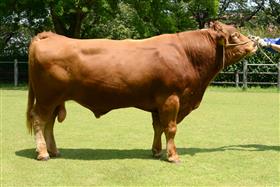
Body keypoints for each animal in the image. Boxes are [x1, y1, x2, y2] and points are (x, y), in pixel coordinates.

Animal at [26, 21, 258, 162]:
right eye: (235, 34)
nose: (255, 44)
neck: (187, 55)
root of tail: (49, 36)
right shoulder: (171, 98)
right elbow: (171, 128)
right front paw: (173, 156)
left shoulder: (159, 103)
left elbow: (158, 127)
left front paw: (156, 151)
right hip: (47, 97)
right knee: (39, 120)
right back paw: (43, 153)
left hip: (54, 99)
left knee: (49, 123)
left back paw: (54, 150)